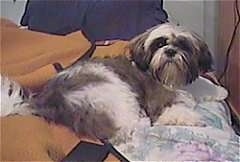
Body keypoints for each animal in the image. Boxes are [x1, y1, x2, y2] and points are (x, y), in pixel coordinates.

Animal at [1, 23, 212, 142]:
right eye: (159, 44)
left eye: (183, 45)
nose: (170, 51)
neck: (168, 77)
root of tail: (49, 100)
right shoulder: (158, 100)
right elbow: (172, 112)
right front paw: (193, 117)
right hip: (116, 93)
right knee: (123, 129)